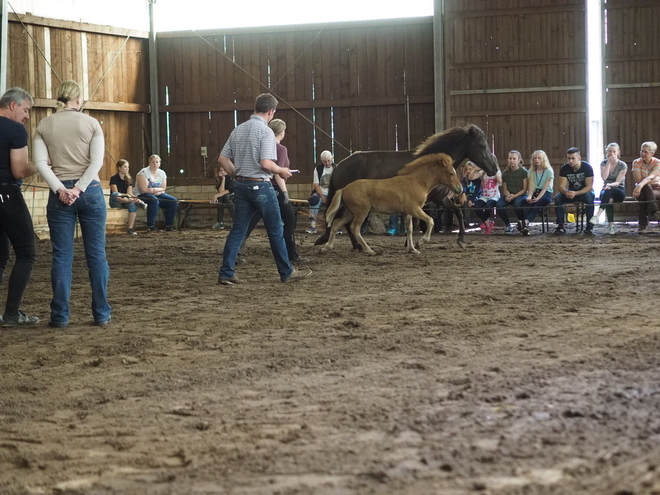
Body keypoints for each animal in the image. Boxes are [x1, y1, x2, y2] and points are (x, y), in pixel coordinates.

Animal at [318, 124, 498, 248]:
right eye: (482, 145)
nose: (494, 169)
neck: (431, 166)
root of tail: (339, 165)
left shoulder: (439, 199)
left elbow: (458, 212)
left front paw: (461, 239)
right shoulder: (426, 201)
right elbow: (418, 221)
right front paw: (414, 243)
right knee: (342, 221)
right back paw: (354, 245)